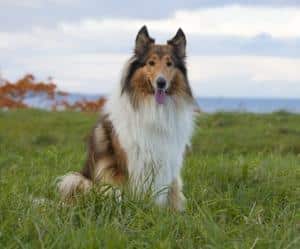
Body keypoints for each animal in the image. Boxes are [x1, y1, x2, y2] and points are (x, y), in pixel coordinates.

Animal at [57, 26, 196, 211]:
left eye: (169, 64)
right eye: (151, 63)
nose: (161, 83)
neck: (153, 108)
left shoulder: (168, 162)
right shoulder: (129, 162)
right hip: (78, 181)